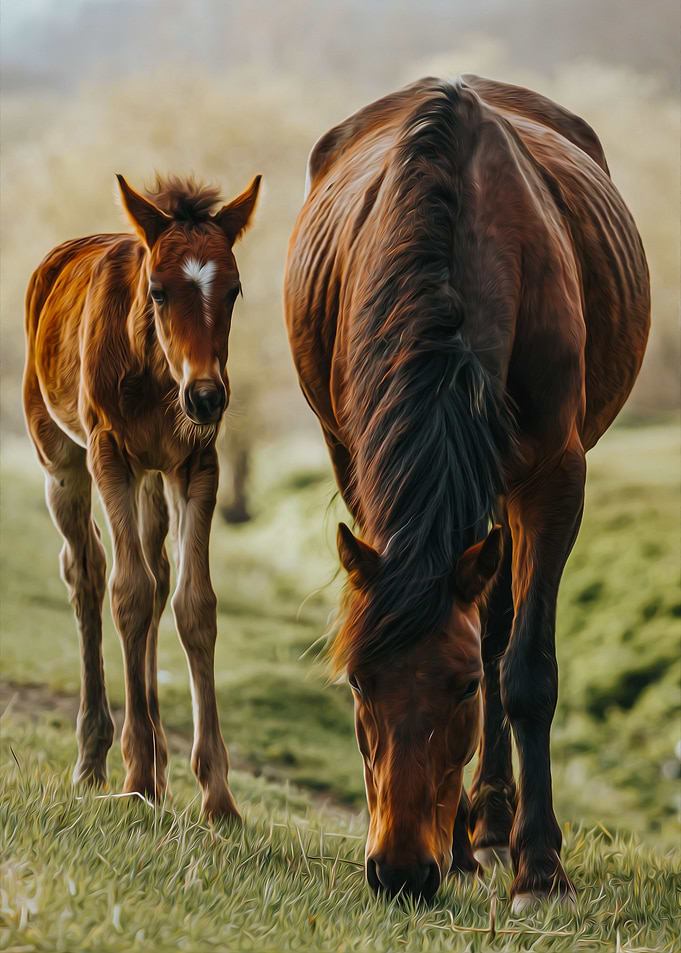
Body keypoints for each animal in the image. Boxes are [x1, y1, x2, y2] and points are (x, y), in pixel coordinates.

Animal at [23, 172, 261, 821]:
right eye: (157, 291)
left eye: (234, 291)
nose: (207, 397)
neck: (158, 375)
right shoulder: (110, 455)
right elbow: (126, 591)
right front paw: (134, 777)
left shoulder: (196, 464)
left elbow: (193, 604)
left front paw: (217, 796)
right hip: (63, 462)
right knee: (86, 572)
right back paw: (97, 757)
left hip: (154, 481)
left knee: (157, 577)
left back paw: (157, 763)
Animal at [284, 75, 650, 908]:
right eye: (358, 682)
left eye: (457, 691)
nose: (399, 870)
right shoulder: (360, 465)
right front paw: (455, 845)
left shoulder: (553, 475)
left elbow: (522, 669)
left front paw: (539, 867)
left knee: (499, 625)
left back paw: (494, 825)